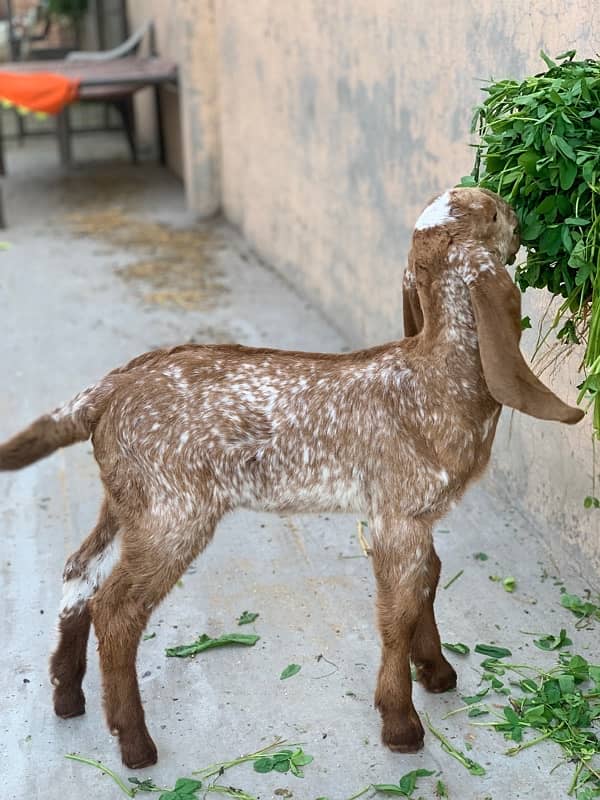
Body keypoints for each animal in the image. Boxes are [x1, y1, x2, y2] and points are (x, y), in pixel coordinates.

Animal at [0, 188, 584, 768]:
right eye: (492, 212)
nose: (519, 219)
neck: (434, 377)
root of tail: (107, 391)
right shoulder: (397, 515)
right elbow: (396, 611)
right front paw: (400, 723)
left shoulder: (412, 517)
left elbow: (427, 582)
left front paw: (437, 672)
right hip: (174, 511)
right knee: (117, 609)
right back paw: (135, 744)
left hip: (126, 499)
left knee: (79, 570)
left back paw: (67, 696)